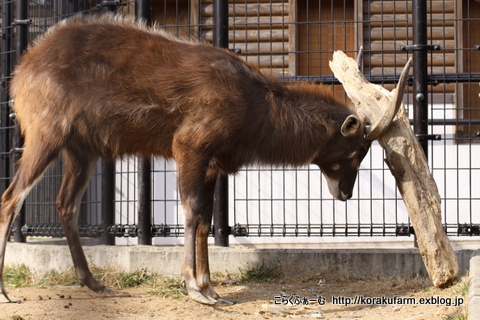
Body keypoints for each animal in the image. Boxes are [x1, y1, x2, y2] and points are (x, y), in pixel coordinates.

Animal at [0, 14, 404, 304]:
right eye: (357, 151)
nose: (345, 194)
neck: (254, 101)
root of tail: (22, 70)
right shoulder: (189, 147)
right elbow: (192, 213)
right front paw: (194, 288)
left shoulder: (211, 164)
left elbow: (207, 222)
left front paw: (212, 288)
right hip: (46, 136)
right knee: (10, 198)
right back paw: (7, 292)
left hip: (81, 151)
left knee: (64, 204)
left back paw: (94, 283)